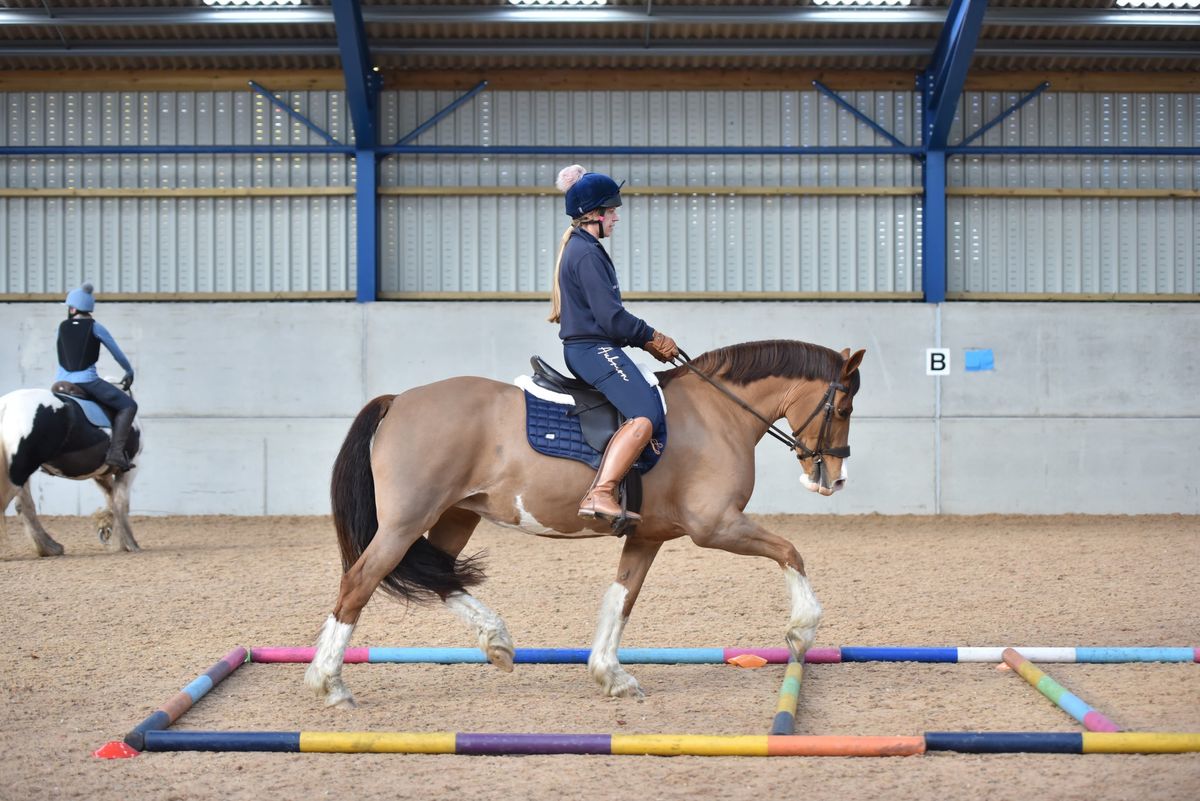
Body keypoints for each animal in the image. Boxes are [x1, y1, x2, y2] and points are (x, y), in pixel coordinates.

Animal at [0, 388, 141, 556]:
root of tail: (6, 404)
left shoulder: (101, 474)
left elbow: (111, 498)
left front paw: (107, 526)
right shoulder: (128, 467)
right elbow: (121, 502)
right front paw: (129, 543)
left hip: (20, 471)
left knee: (25, 506)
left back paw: (50, 547)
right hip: (18, 471)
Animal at [307, 340, 864, 705]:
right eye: (842, 405)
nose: (835, 479)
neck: (715, 414)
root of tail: (398, 400)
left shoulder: (647, 537)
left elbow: (621, 600)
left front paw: (611, 676)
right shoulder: (716, 527)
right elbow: (790, 551)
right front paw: (802, 629)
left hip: (455, 515)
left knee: (440, 576)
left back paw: (497, 640)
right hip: (405, 522)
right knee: (358, 582)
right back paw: (329, 682)